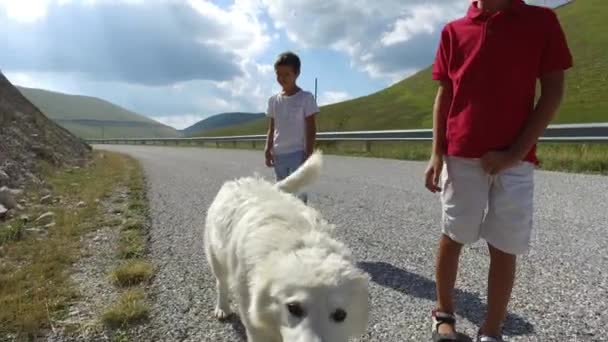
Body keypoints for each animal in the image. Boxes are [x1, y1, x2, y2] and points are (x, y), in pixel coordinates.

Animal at [204, 151, 370, 342]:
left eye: (340, 315)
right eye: (293, 308)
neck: (301, 244)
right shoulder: (255, 324)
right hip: (216, 257)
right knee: (221, 283)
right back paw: (222, 308)